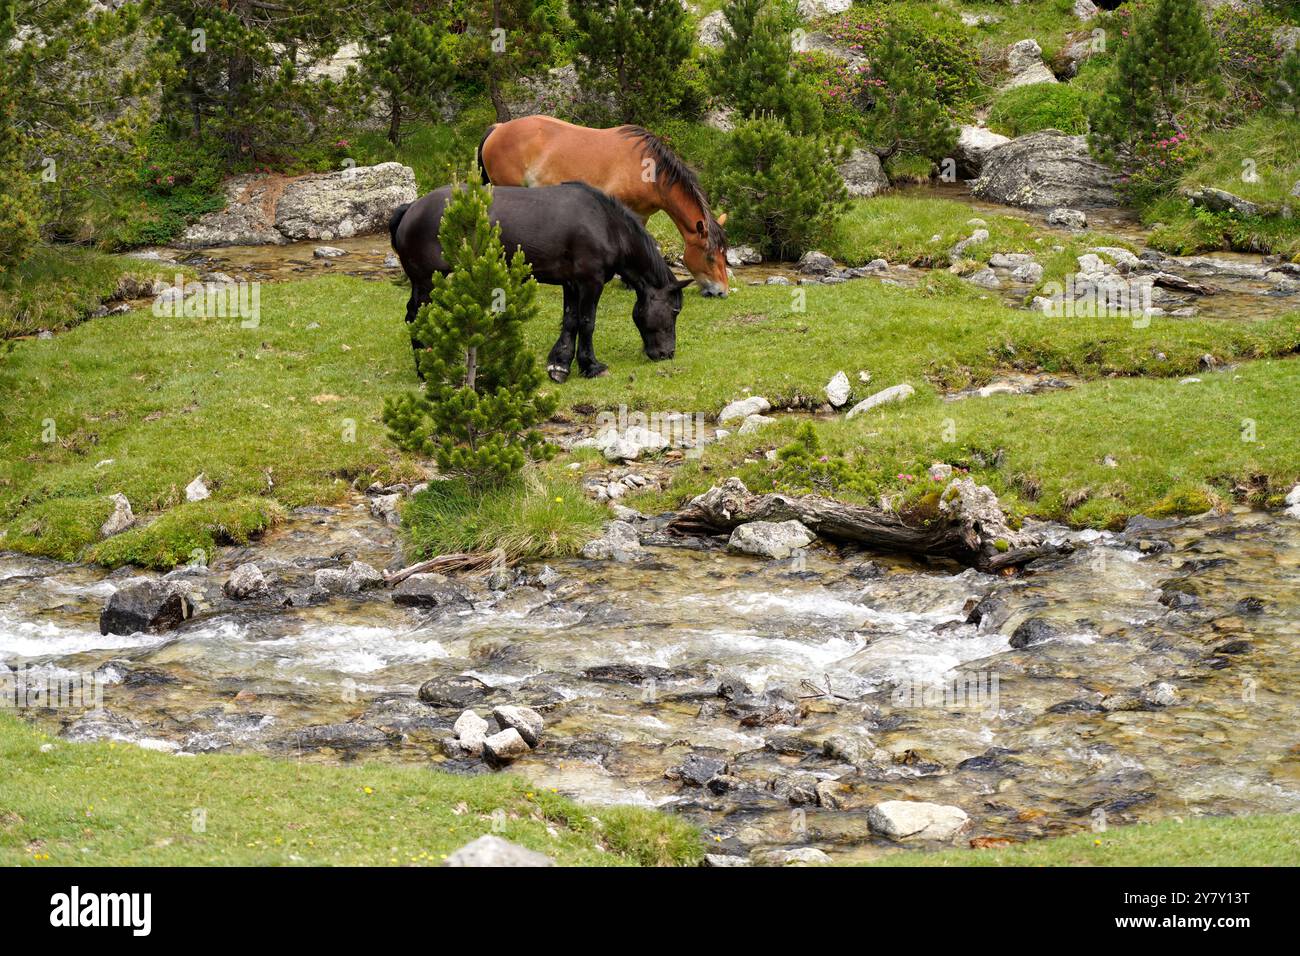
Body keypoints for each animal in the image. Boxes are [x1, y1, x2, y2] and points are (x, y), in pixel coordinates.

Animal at [384, 180, 691, 382]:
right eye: (675, 311)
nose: (667, 353)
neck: (606, 225)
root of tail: (411, 208)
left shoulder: (572, 284)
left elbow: (570, 321)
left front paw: (560, 364)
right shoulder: (590, 283)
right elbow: (587, 324)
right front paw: (591, 366)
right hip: (427, 282)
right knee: (417, 318)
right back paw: (426, 370)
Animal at [478, 115, 733, 297]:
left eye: (724, 255)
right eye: (710, 257)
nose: (721, 292)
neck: (648, 170)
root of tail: (499, 128)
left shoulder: (642, 215)